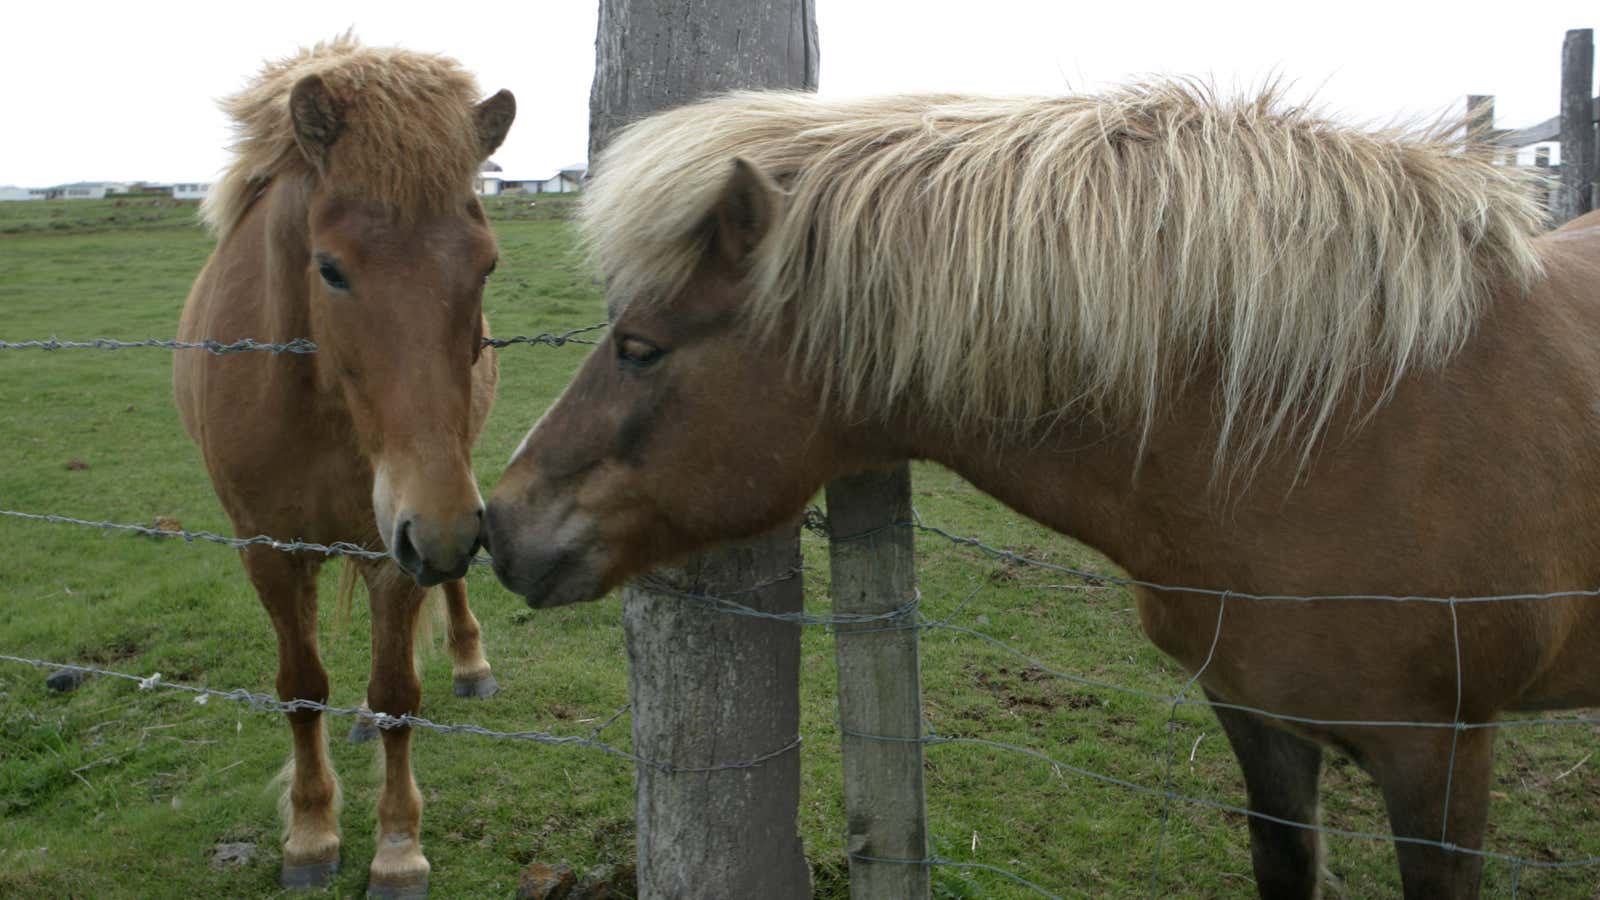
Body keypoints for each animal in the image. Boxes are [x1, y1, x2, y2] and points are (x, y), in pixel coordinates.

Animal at [174, 35, 512, 890]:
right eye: (330, 268)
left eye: (486, 266)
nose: (444, 528)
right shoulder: (267, 549)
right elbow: (301, 689)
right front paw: (310, 834)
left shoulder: (402, 540)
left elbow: (396, 690)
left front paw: (397, 848)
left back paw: (470, 663)